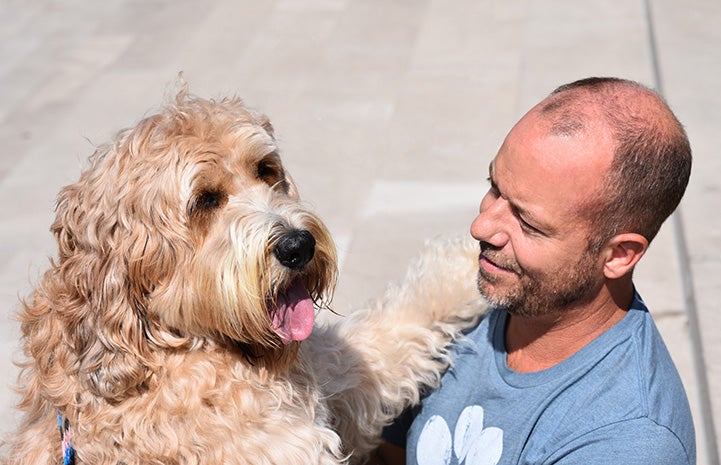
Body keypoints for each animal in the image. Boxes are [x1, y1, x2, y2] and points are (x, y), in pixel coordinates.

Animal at [1, 90, 484, 464]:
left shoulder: (331, 380)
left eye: (266, 170)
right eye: (205, 199)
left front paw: (464, 266)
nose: (298, 246)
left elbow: (390, 334)